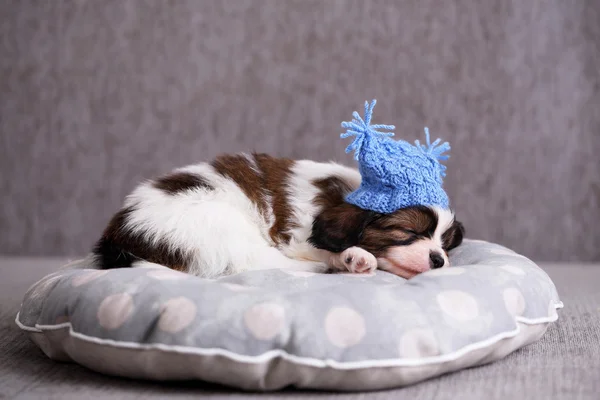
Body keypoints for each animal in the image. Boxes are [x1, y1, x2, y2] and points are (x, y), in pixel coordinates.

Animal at [91, 152, 464, 280]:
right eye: (407, 233)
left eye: (445, 243)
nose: (438, 259)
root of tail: (120, 236)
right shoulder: (296, 235)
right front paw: (351, 256)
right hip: (217, 223)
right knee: (252, 262)